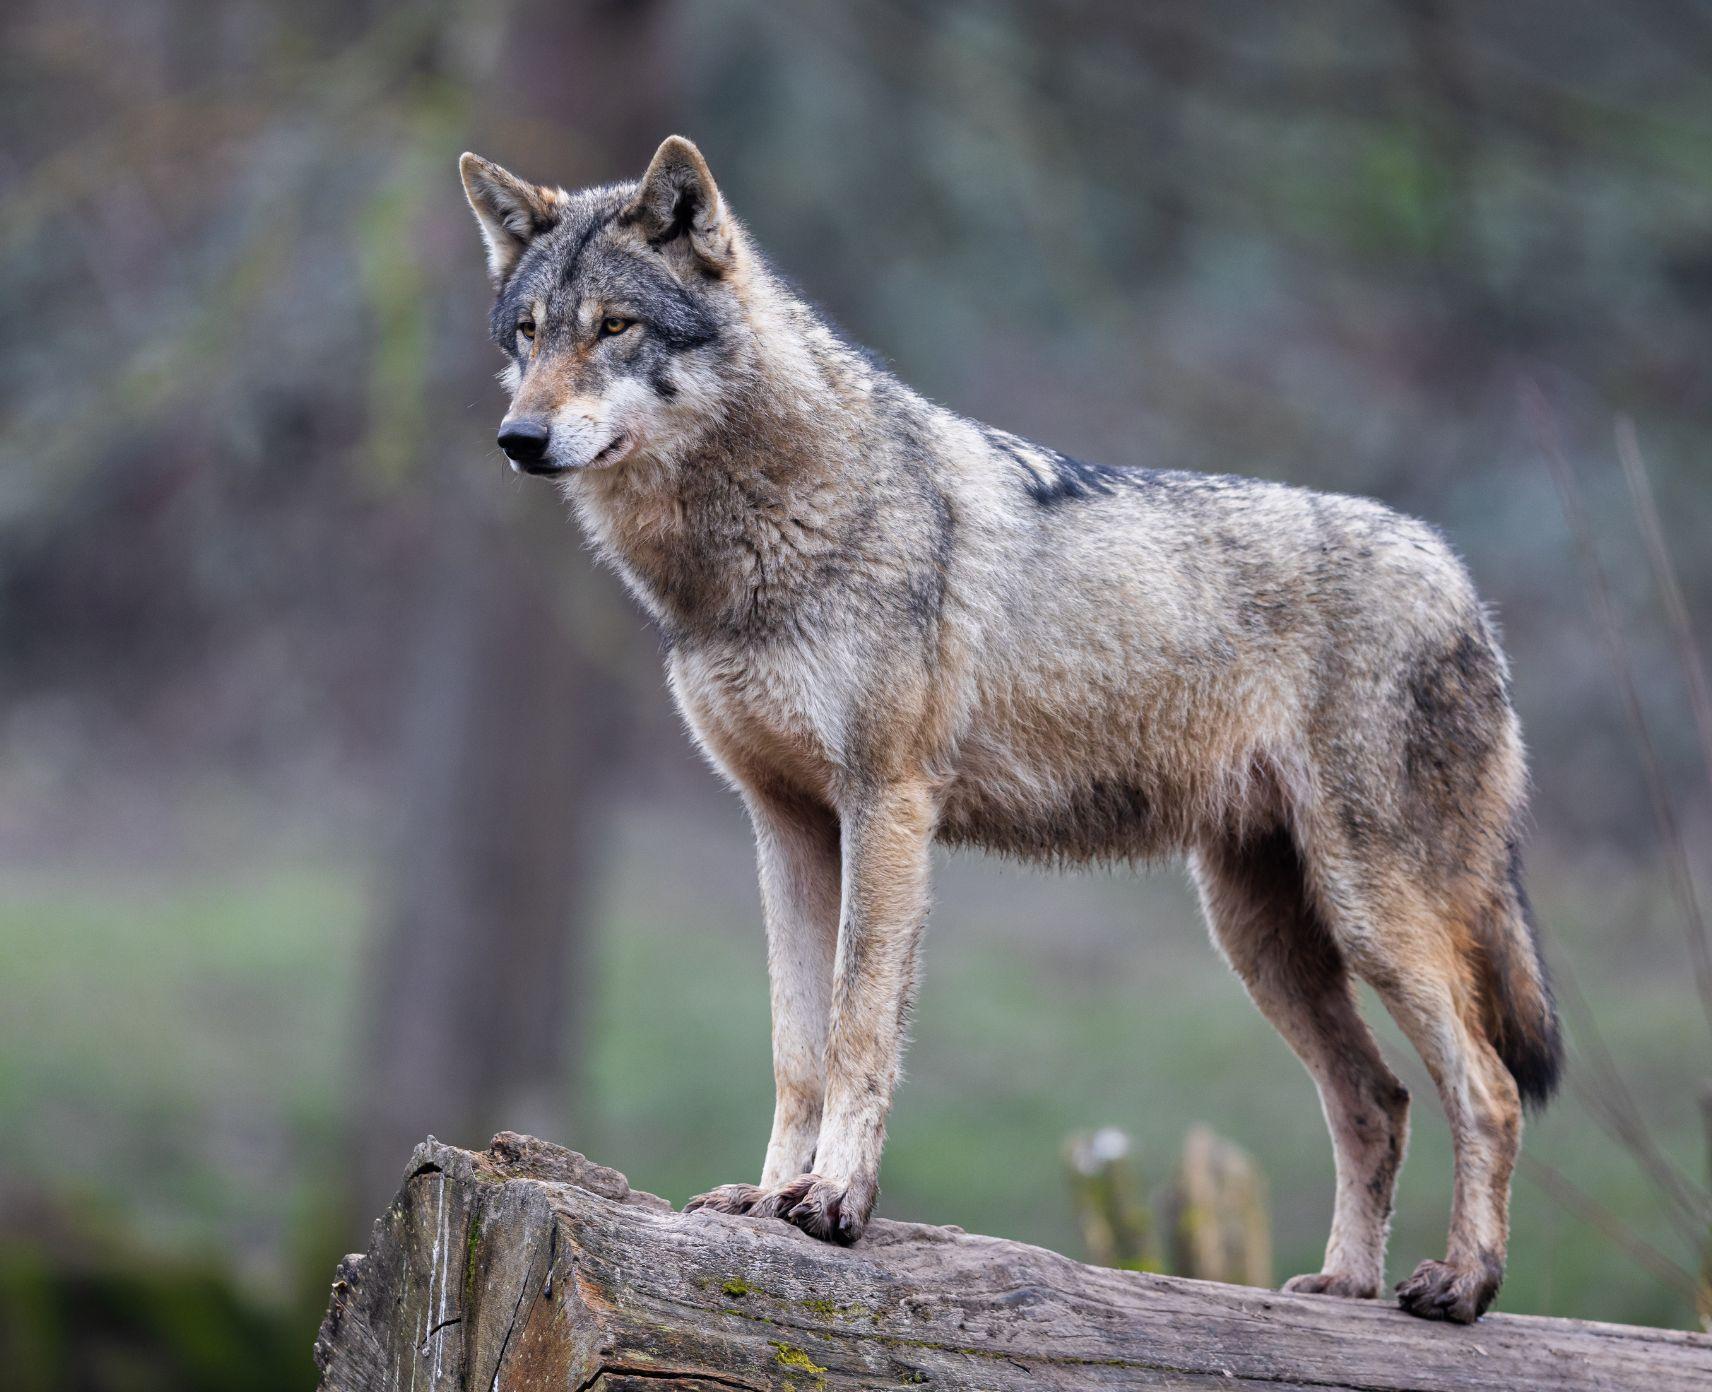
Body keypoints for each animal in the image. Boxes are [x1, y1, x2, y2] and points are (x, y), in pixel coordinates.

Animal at [458, 136, 1568, 1321]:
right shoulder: (784, 825)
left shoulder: (886, 806)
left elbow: (857, 1029)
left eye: (615, 327)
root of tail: (1461, 582)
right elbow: (797, 1047)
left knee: (1489, 1090)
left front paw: (833, 1203)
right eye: (528, 334)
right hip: (1261, 937)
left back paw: (1460, 1284)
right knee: (1378, 1098)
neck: (755, 542)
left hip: (1370, 917)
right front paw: (764, 1200)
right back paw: (1341, 1289)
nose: (517, 438)